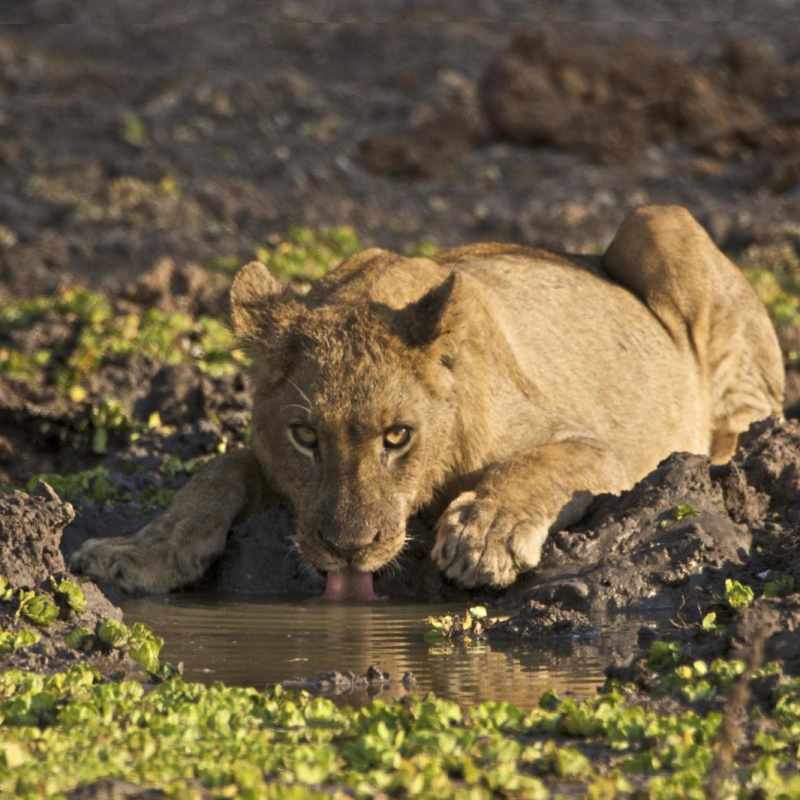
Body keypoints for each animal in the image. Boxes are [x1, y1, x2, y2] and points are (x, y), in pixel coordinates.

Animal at [71, 205, 784, 600]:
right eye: (306, 436)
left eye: (397, 436)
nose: (349, 549)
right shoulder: (271, 463)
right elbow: (215, 472)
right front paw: (139, 552)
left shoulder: (605, 449)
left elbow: (537, 465)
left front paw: (483, 535)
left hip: (660, 220)